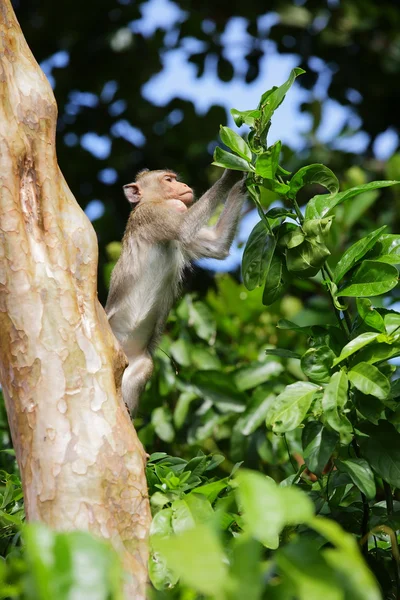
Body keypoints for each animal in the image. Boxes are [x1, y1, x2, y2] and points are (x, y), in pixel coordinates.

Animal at [104, 166, 245, 414]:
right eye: (168, 180)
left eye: (175, 179)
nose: (185, 186)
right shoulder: (151, 215)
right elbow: (183, 228)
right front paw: (230, 175)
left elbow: (216, 245)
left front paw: (243, 180)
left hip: (132, 361)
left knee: (144, 367)